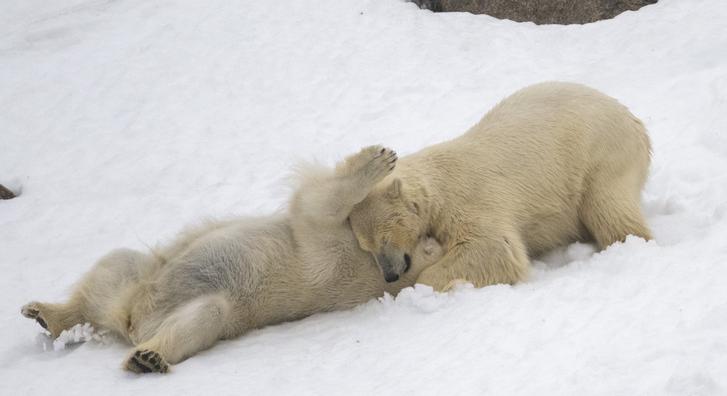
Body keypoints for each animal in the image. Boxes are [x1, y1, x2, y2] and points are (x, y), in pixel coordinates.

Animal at [19, 146, 444, 374]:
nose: (393, 273)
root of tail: (133, 319)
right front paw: (380, 160)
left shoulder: (331, 251)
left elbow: (316, 204)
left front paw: (377, 160)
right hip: (145, 273)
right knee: (113, 268)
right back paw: (46, 313)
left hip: (200, 308)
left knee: (202, 316)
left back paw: (147, 358)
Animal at [348, 81, 656, 290]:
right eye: (366, 246)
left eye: (384, 238)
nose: (390, 275)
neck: (438, 183)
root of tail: (634, 121)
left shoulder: (470, 198)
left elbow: (494, 248)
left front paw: (427, 281)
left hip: (600, 154)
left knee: (608, 209)